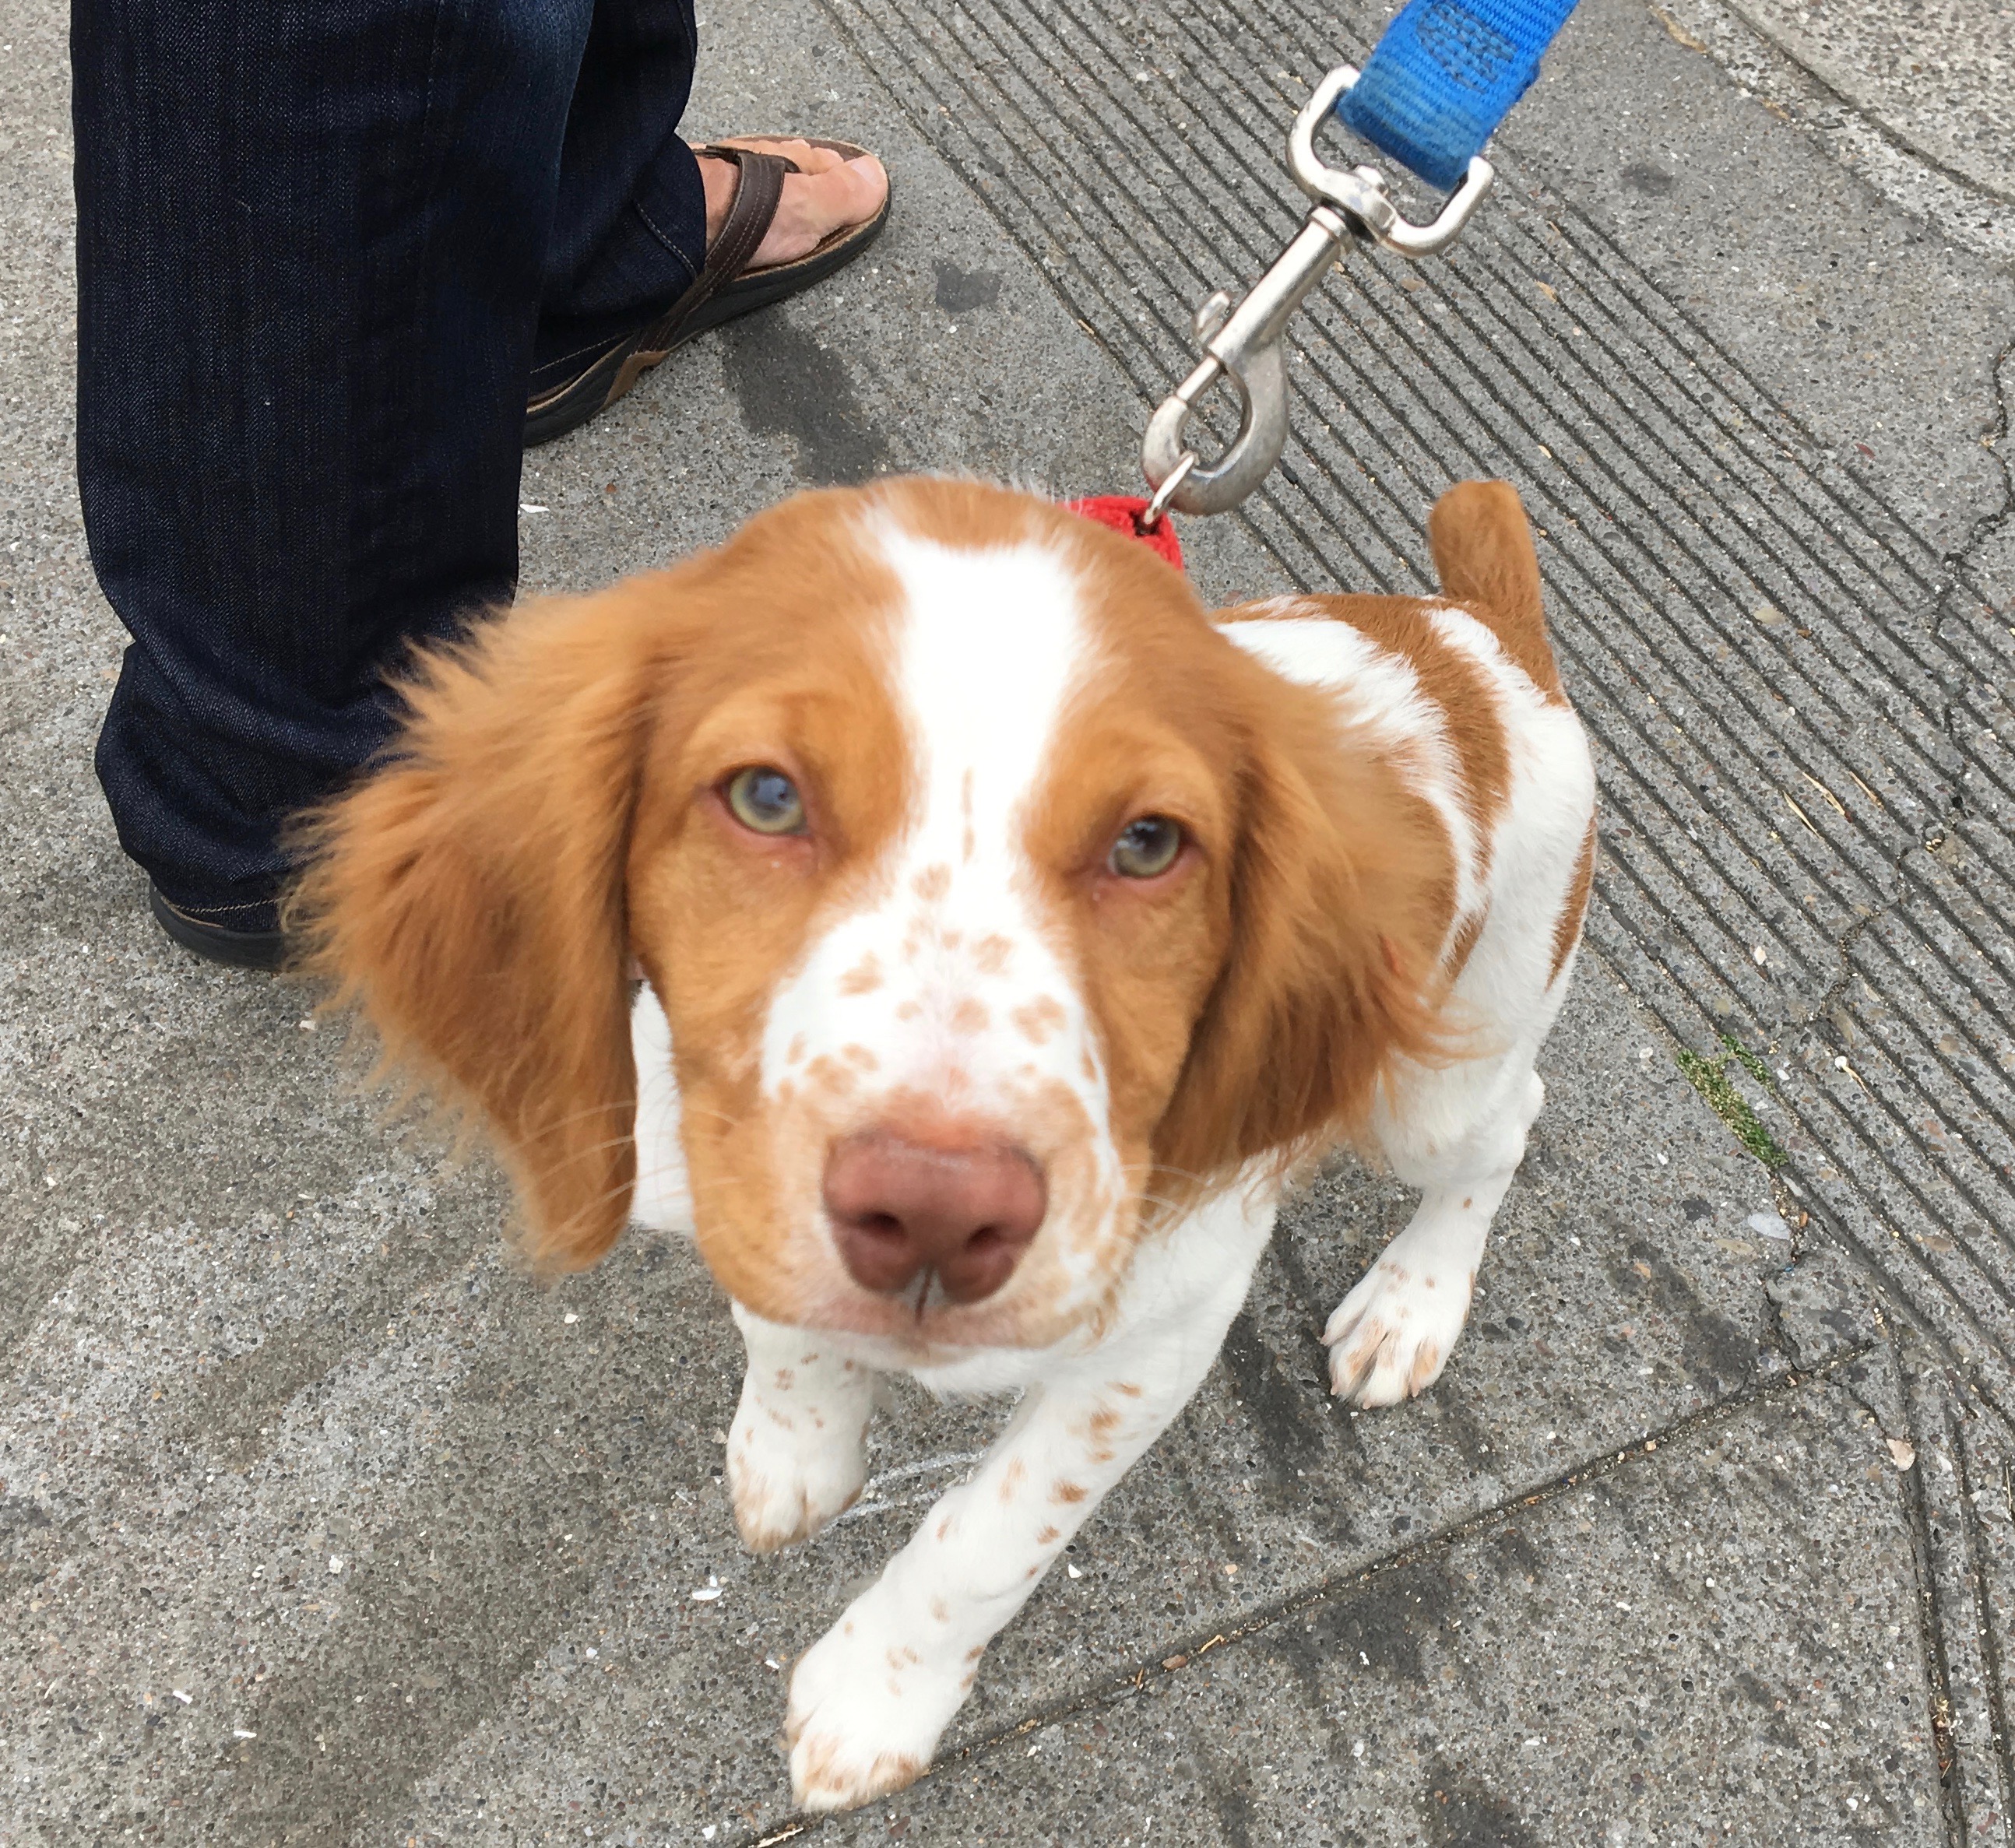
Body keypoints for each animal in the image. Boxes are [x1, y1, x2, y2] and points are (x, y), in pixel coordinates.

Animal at [298, 471, 1595, 1805]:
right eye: (766, 796)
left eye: (1148, 843)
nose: (933, 1210)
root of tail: (1483, 642)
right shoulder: (727, 1160)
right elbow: (778, 1316)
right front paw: (793, 1452)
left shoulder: (1157, 1334)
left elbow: (989, 1532)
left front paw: (870, 1699)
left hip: (1431, 1086)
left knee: (1507, 1126)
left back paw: (1411, 1305)